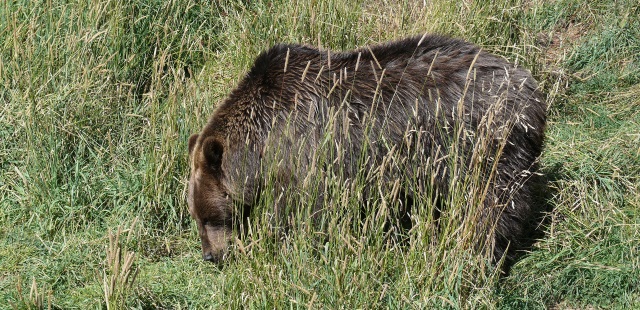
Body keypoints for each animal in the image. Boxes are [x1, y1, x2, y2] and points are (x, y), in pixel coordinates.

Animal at [188, 34, 548, 274]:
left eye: (210, 217)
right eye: (197, 217)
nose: (210, 256)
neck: (261, 144)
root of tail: (529, 84)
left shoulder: (305, 156)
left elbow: (303, 214)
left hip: (482, 145)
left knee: (492, 206)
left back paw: (479, 258)